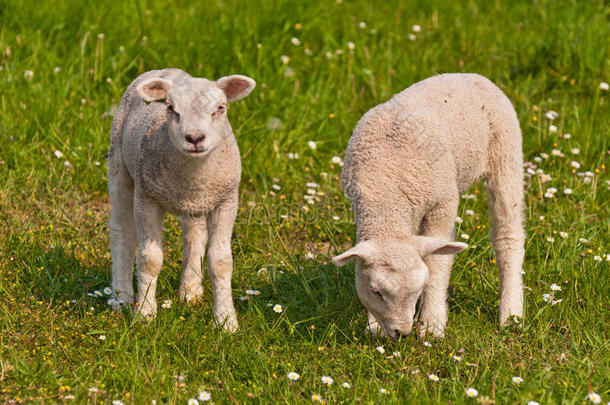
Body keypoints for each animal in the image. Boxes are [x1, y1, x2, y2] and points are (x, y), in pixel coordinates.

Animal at [107, 68, 254, 330]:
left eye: (220, 108)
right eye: (171, 108)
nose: (195, 138)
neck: (194, 173)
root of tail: (168, 70)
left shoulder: (226, 200)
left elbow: (221, 262)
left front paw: (226, 321)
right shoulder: (146, 198)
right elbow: (149, 259)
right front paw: (145, 314)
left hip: (196, 204)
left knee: (194, 236)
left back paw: (190, 290)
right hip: (119, 164)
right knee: (121, 232)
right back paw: (121, 298)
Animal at [332, 72, 524, 338]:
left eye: (418, 289)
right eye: (375, 291)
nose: (401, 333)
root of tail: (470, 75)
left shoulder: (442, 203)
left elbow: (437, 263)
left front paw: (432, 325)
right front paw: (374, 325)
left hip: (506, 152)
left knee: (508, 235)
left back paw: (511, 314)